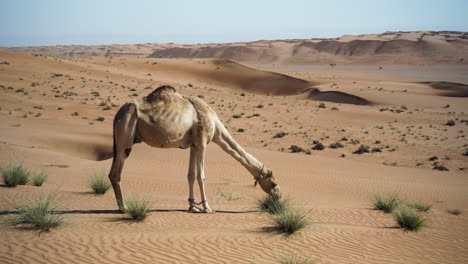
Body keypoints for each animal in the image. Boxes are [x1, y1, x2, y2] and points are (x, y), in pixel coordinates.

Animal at [108, 85, 280, 213]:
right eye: (273, 183)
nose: (279, 198)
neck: (215, 125)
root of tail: (117, 114)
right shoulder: (202, 142)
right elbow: (201, 176)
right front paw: (207, 208)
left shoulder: (193, 145)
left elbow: (190, 175)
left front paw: (192, 206)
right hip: (127, 130)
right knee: (116, 172)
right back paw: (124, 208)